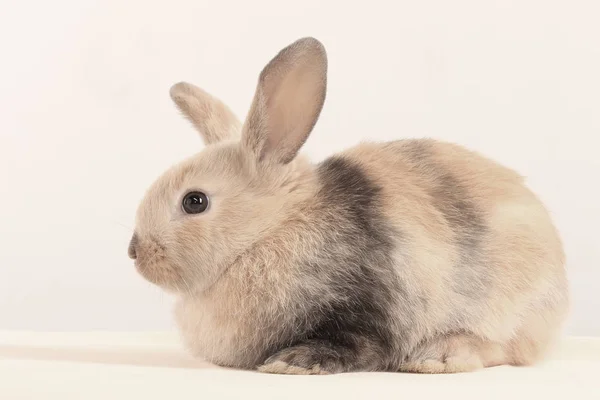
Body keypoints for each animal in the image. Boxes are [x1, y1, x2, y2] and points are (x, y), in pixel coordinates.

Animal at [129, 37, 568, 376]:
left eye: (195, 201)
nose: (135, 251)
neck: (271, 231)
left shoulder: (365, 309)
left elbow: (354, 344)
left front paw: (292, 363)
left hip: (511, 308)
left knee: (503, 349)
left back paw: (437, 356)